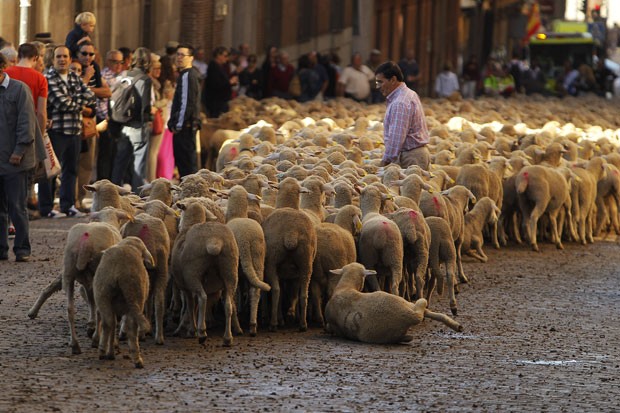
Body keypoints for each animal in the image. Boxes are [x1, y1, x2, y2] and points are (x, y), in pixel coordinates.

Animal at [93, 235, 154, 366]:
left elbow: (113, 325)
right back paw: (137, 359)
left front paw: (110, 352)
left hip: (102, 294)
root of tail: (119, 270)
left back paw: (102, 351)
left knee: (108, 322)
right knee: (132, 326)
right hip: (135, 297)